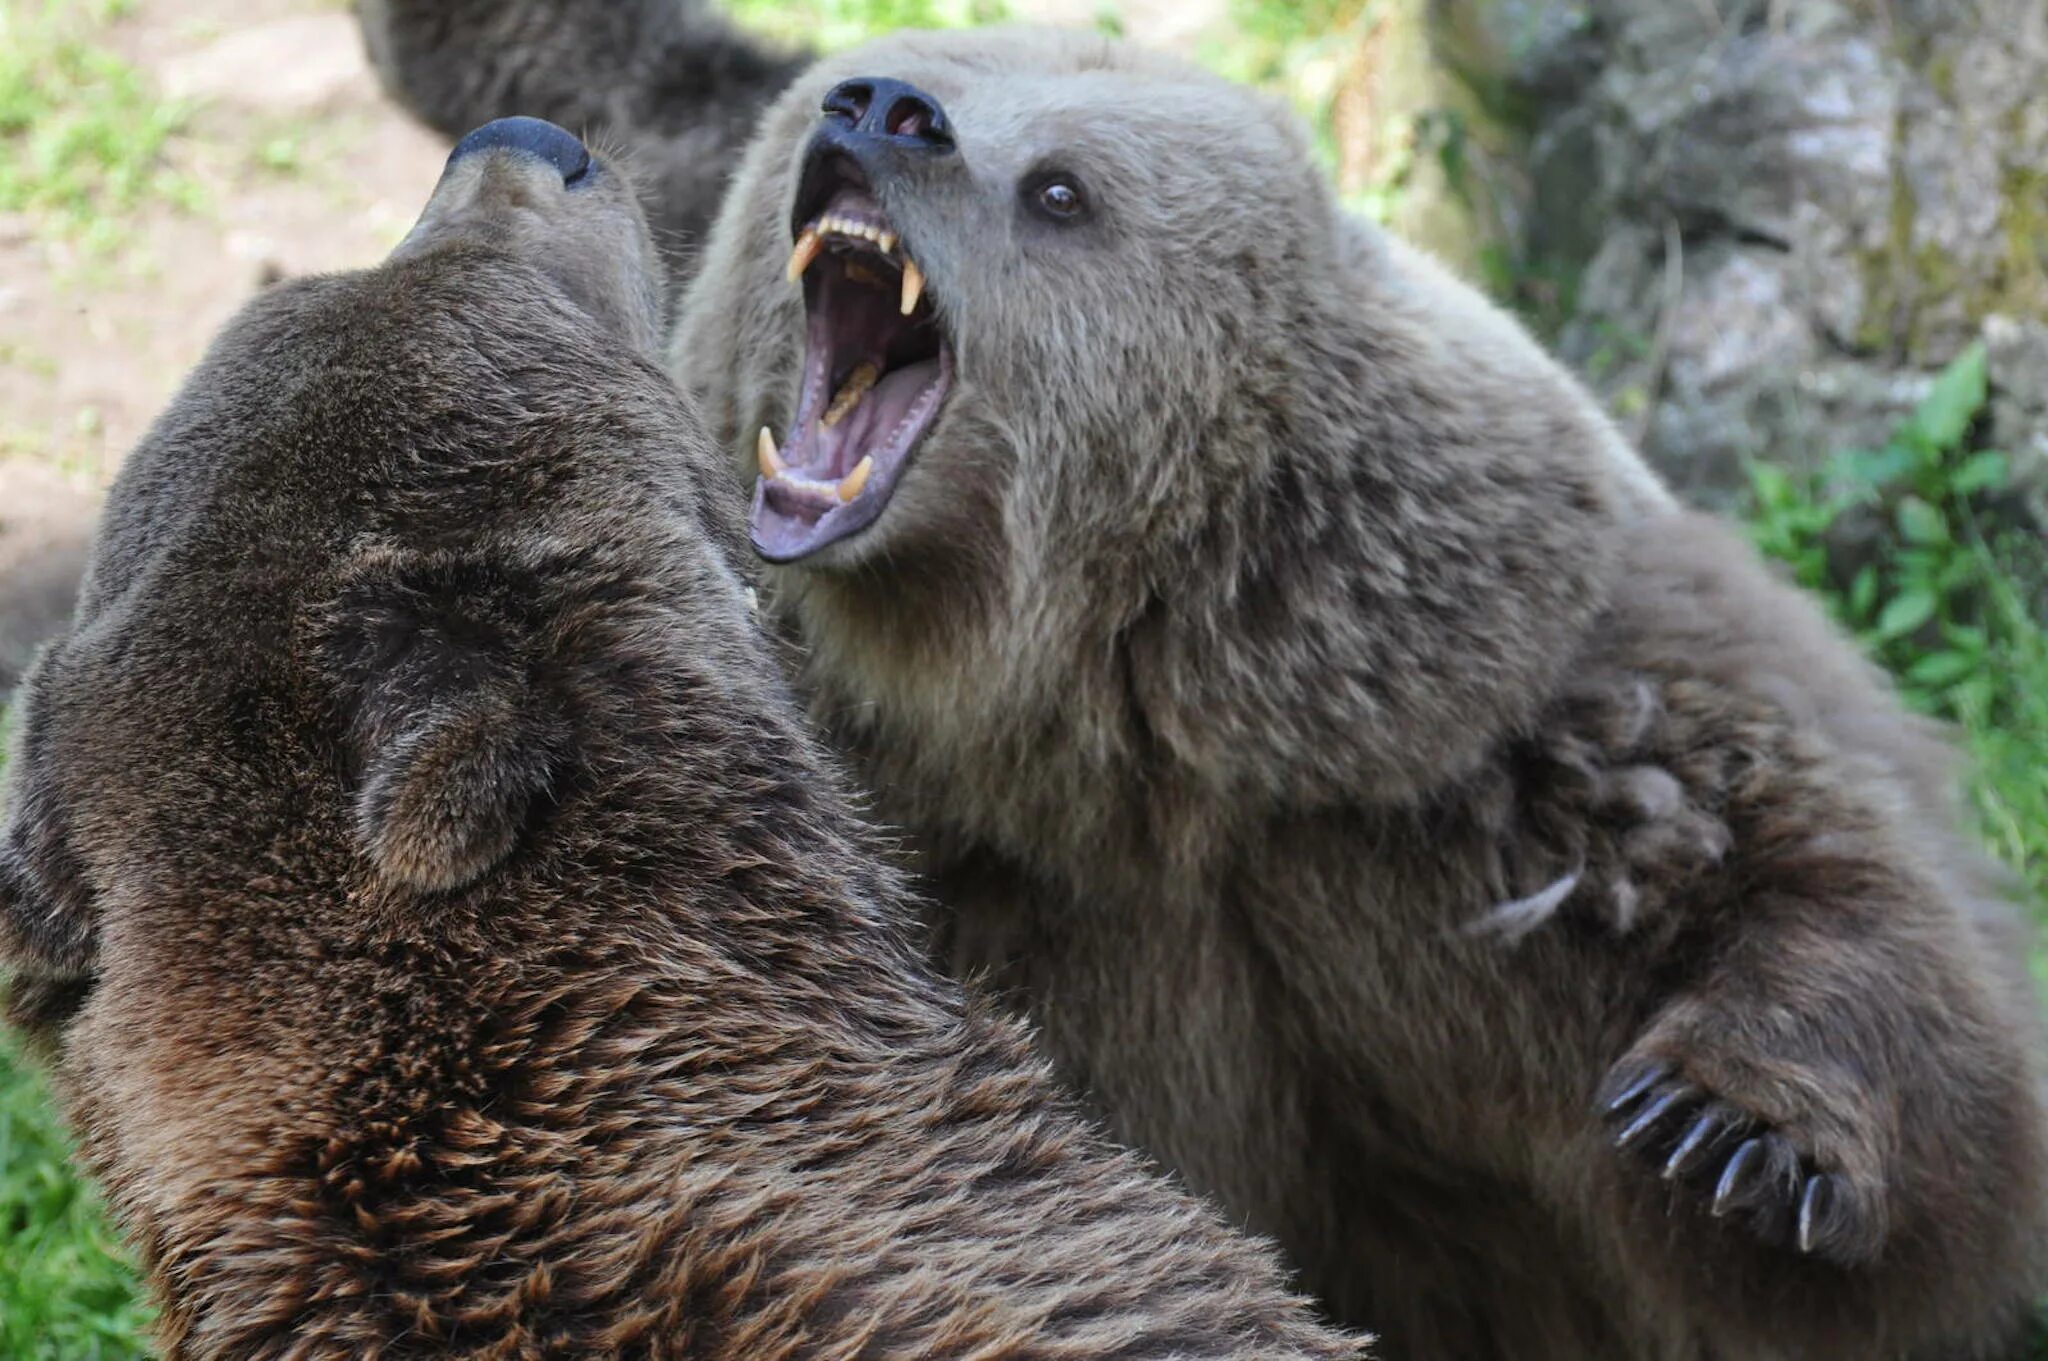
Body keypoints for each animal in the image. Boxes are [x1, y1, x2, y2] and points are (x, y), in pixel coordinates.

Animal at [360, 5, 2048, 1350]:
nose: (877, 106)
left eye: (1061, 187)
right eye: (874, 85)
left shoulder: (1455, 711)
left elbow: (1787, 875)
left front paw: (1727, 1126)